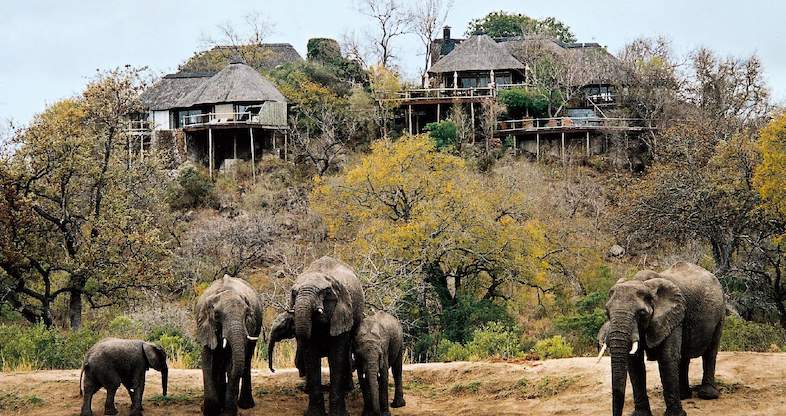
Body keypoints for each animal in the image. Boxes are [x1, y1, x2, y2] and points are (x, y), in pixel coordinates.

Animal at [194, 274, 262, 414]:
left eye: (247, 314)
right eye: (216, 315)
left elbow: (232, 364)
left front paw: (228, 412)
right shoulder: (205, 327)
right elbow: (208, 362)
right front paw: (210, 411)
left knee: (247, 359)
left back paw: (245, 405)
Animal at [290, 256, 364, 416]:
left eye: (325, 292)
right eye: (294, 293)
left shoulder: (342, 313)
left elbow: (336, 357)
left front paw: (338, 414)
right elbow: (311, 356)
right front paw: (314, 414)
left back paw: (348, 388)